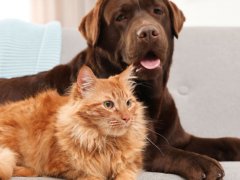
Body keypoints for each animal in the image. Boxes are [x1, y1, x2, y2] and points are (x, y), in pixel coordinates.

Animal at [0, 65, 147, 179]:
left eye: (128, 103)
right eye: (108, 104)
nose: (127, 118)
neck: (106, 143)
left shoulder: (132, 165)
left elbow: (126, 175)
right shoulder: (67, 169)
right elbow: (91, 175)